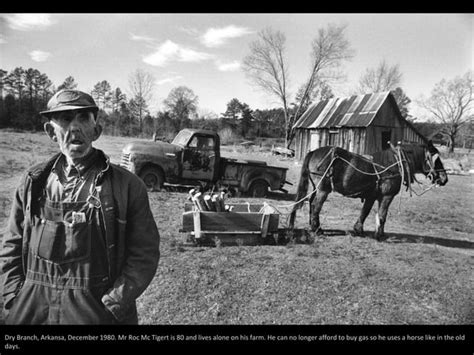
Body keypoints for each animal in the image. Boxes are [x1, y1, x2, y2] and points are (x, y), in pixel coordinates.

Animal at [288, 142, 448, 242]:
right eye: (435, 158)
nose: (444, 178)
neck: (394, 164)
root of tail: (314, 151)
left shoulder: (371, 196)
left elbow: (364, 212)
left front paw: (359, 229)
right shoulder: (387, 196)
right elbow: (382, 215)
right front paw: (379, 235)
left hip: (317, 188)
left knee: (310, 203)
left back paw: (311, 226)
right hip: (323, 189)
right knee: (316, 206)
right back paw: (317, 229)